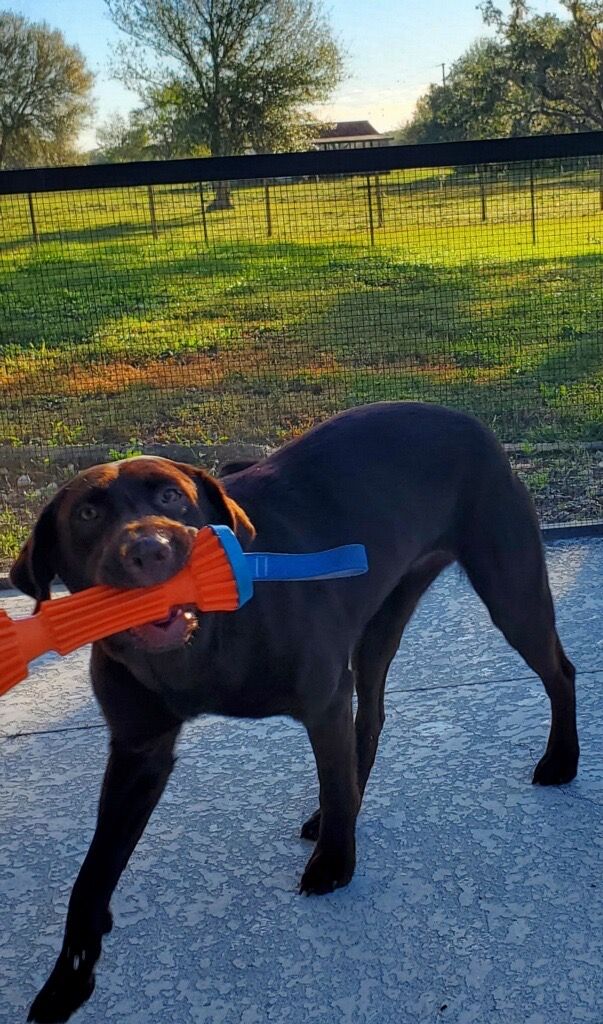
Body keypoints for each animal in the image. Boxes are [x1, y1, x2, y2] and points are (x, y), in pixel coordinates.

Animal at [10, 403, 577, 1019]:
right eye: (88, 513)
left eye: (171, 496)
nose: (150, 551)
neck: (201, 646)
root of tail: (467, 420)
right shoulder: (140, 753)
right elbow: (91, 875)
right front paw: (67, 977)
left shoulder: (323, 699)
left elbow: (333, 779)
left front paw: (334, 862)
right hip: (380, 622)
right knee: (372, 716)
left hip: (510, 592)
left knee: (560, 672)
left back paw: (561, 760)